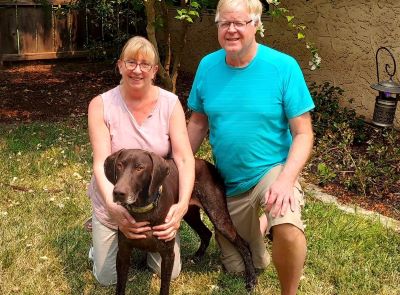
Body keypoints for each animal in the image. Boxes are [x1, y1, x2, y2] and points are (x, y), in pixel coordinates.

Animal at [104, 150, 256, 295]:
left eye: (140, 168)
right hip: (190, 214)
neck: (143, 209)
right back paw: (196, 257)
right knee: (206, 233)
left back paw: (251, 280)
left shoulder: (168, 254)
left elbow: (164, 286)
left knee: (243, 245)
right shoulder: (123, 252)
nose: (118, 192)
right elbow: (120, 285)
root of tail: (210, 165)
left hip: (217, 216)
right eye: (119, 165)